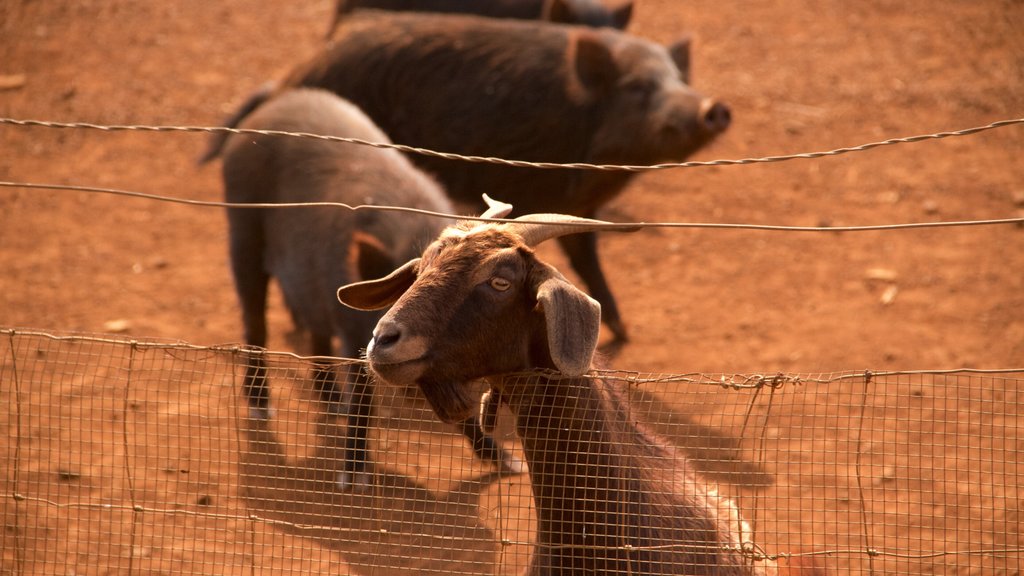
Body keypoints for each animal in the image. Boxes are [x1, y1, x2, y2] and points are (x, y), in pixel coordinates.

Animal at [201, 11, 729, 342]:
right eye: (639, 87)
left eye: (680, 80)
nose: (713, 107)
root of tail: (291, 77)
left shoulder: (580, 202)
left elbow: (587, 253)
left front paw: (621, 330)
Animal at [219, 87, 516, 485]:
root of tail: (275, 104)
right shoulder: (356, 333)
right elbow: (364, 398)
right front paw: (354, 479)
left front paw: (508, 464)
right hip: (242, 230)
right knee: (255, 320)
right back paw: (261, 408)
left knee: (313, 326)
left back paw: (332, 403)